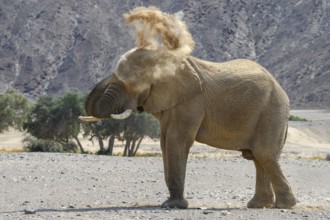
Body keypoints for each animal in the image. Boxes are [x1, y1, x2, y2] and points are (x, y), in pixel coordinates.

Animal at [82, 6, 296, 210]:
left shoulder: (190, 103)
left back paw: (284, 205)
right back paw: (258, 205)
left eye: (134, 83)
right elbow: (165, 142)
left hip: (271, 112)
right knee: (258, 158)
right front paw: (171, 204)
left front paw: (173, 206)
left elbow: (177, 141)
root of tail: (281, 89)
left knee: (264, 155)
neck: (165, 58)